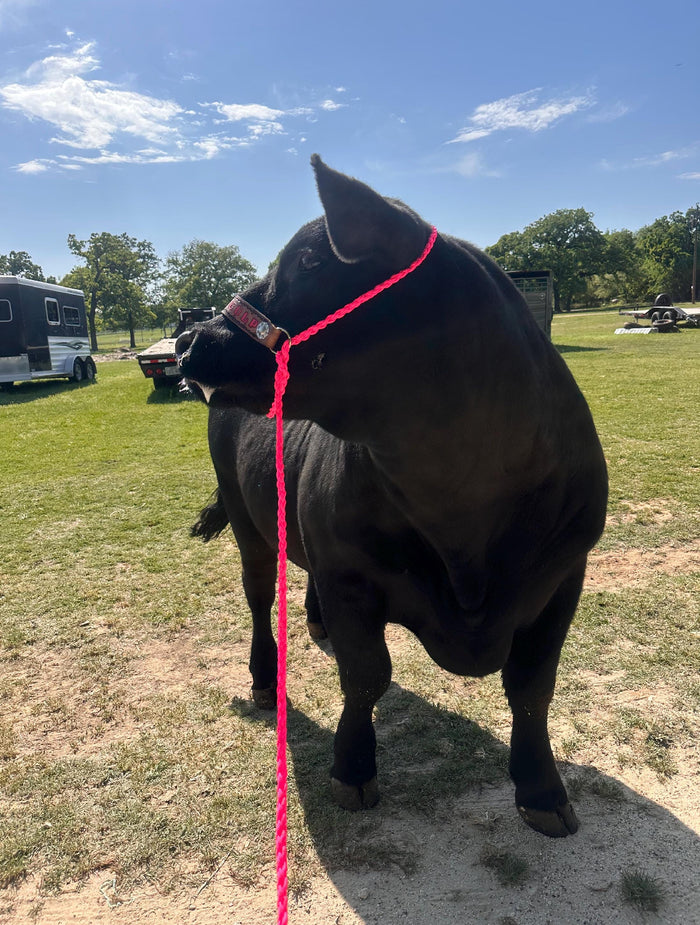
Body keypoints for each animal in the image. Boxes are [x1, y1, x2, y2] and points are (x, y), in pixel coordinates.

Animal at [176, 155, 608, 838]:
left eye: (310, 261)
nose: (192, 341)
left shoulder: (564, 577)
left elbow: (533, 686)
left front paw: (542, 790)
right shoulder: (353, 576)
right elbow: (365, 677)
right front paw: (352, 769)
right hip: (248, 522)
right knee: (258, 597)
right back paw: (266, 680)